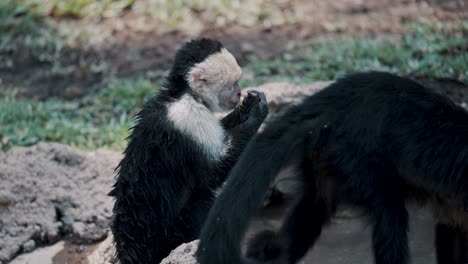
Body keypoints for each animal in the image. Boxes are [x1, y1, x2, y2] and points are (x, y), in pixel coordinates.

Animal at [109, 37, 268, 264]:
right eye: (232, 84)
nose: (239, 93)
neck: (184, 94)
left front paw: (246, 108)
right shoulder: (190, 118)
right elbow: (214, 172)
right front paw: (256, 111)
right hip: (171, 234)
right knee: (202, 203)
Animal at [197, 71, 468, 264]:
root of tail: (328, 101)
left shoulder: (454, 207)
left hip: (327, 156)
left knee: (314, 206)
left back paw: (272, 252)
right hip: (357, 156)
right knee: (390, 214)